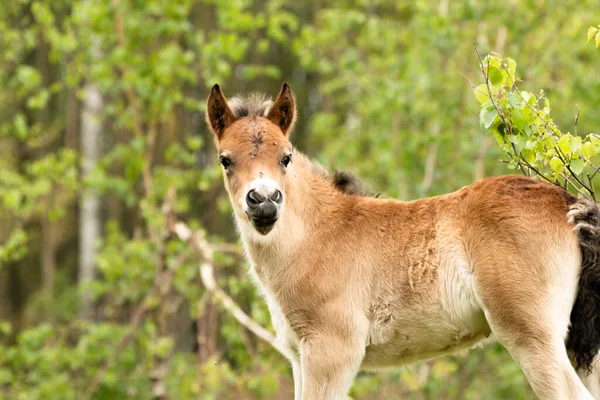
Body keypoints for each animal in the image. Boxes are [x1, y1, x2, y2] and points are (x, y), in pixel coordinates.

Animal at [206, 83, 600, 398]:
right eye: (225, 160)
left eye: (285, 157)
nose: (264, 201)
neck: (316, 238)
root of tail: (568, 203)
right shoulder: (298, 358)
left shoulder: (332, 350)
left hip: (532, 337)